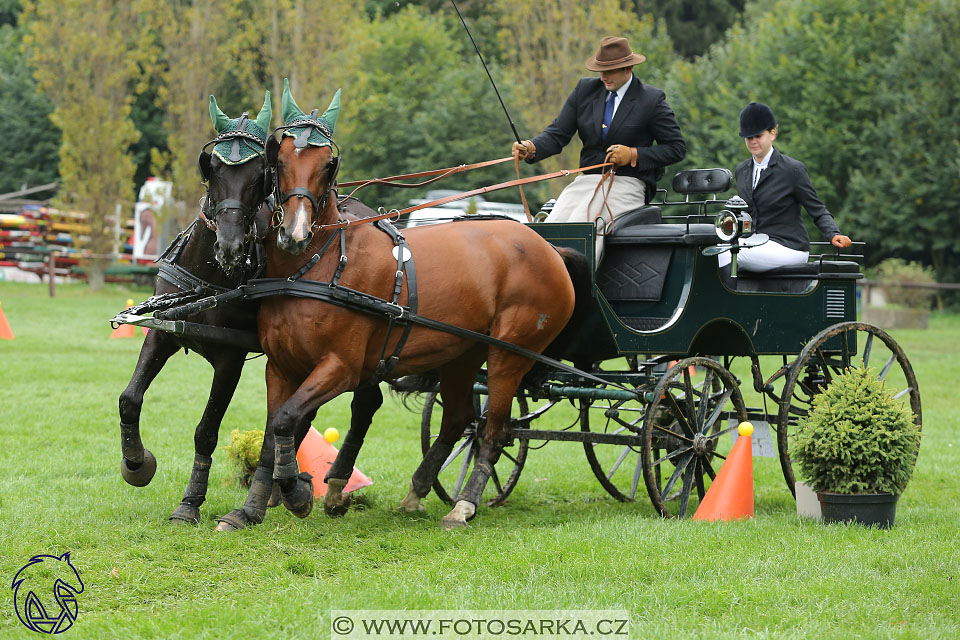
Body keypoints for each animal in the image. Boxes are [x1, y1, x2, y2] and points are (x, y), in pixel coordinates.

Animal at [117, 92, 274, 524]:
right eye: (214, 170)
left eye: (259, 174)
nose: (231, 247)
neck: (210, 277)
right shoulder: (162, 334)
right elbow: (130, 399)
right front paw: (136, 463)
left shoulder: (231, 359)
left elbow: (206, 430)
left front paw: (190, 502)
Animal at [211, 81, 584, 528]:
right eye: (278, 160)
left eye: (328, 164)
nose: (295, 233)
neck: (314, 266)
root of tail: (548, 247)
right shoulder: (281, 366)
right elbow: (272, 432)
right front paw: (251, 508)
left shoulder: (343, 368)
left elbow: (287, 420)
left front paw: (298, 493)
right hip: (463, 353)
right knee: (458, 419)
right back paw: (416, 493)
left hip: (509, 355)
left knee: (495, 431)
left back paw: (463, 506)